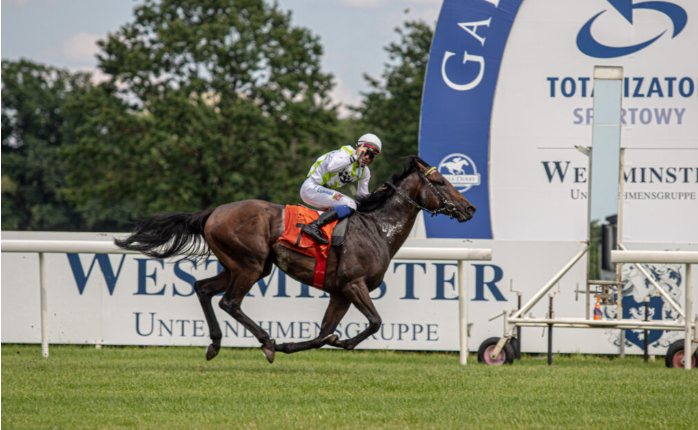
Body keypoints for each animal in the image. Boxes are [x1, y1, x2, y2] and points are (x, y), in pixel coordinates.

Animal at [115, 155, 474, 362]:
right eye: (440, 181)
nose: (469, 208)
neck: (377, 227)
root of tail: (213, 212)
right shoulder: (353, 284)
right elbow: (374, 322)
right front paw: (340, 342)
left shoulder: (339, 292)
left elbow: (322, 333)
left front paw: (313, 342)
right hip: (250, 264)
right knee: (230, 302)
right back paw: (266, 342)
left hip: (243, 266)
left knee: (203, 289)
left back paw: (216, 344)